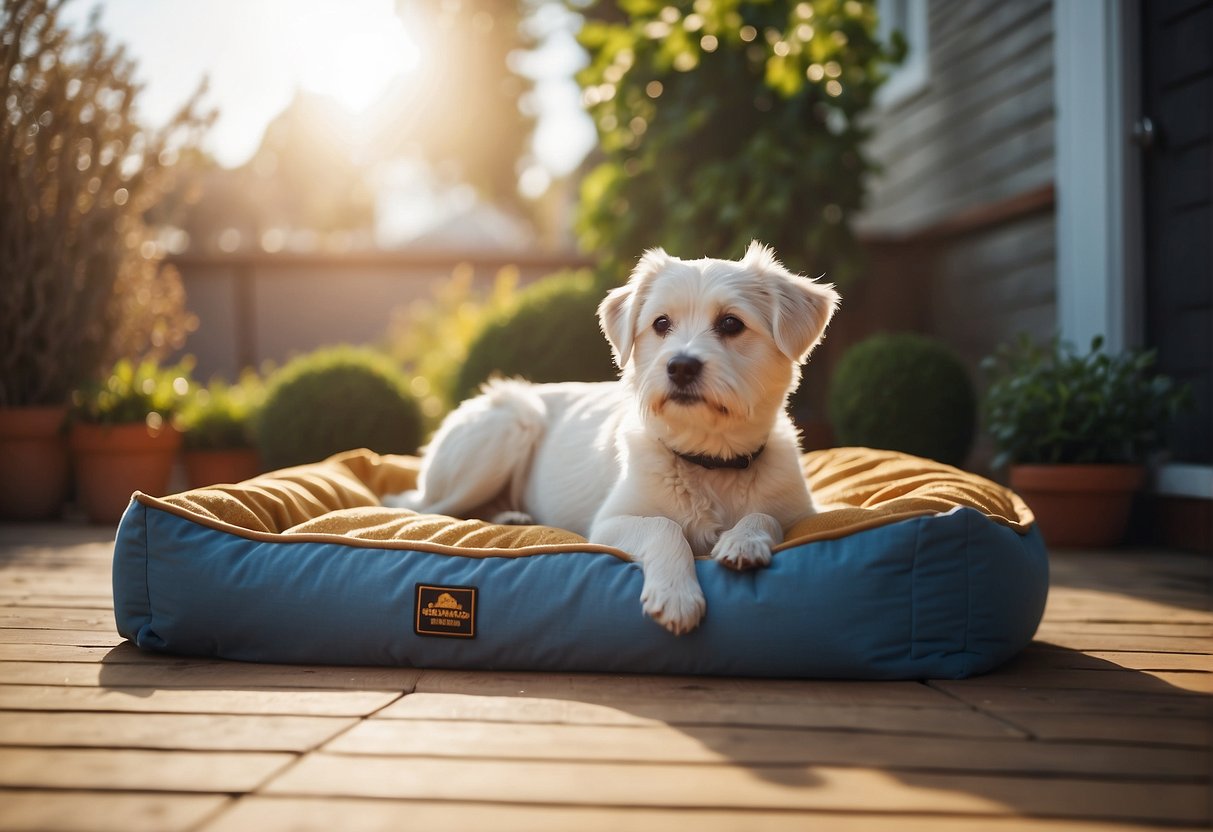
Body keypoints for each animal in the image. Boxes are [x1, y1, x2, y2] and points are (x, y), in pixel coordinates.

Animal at [383, 244, 839, 635]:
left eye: (731, 324)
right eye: (661, 324)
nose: (680, 367)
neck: (709, 459)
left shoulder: (802, 512)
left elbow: (765, 516)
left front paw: (744, 541)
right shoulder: (607, 524)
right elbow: (663, 527)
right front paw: (676, 594)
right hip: (510, 424)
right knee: (430, 507)